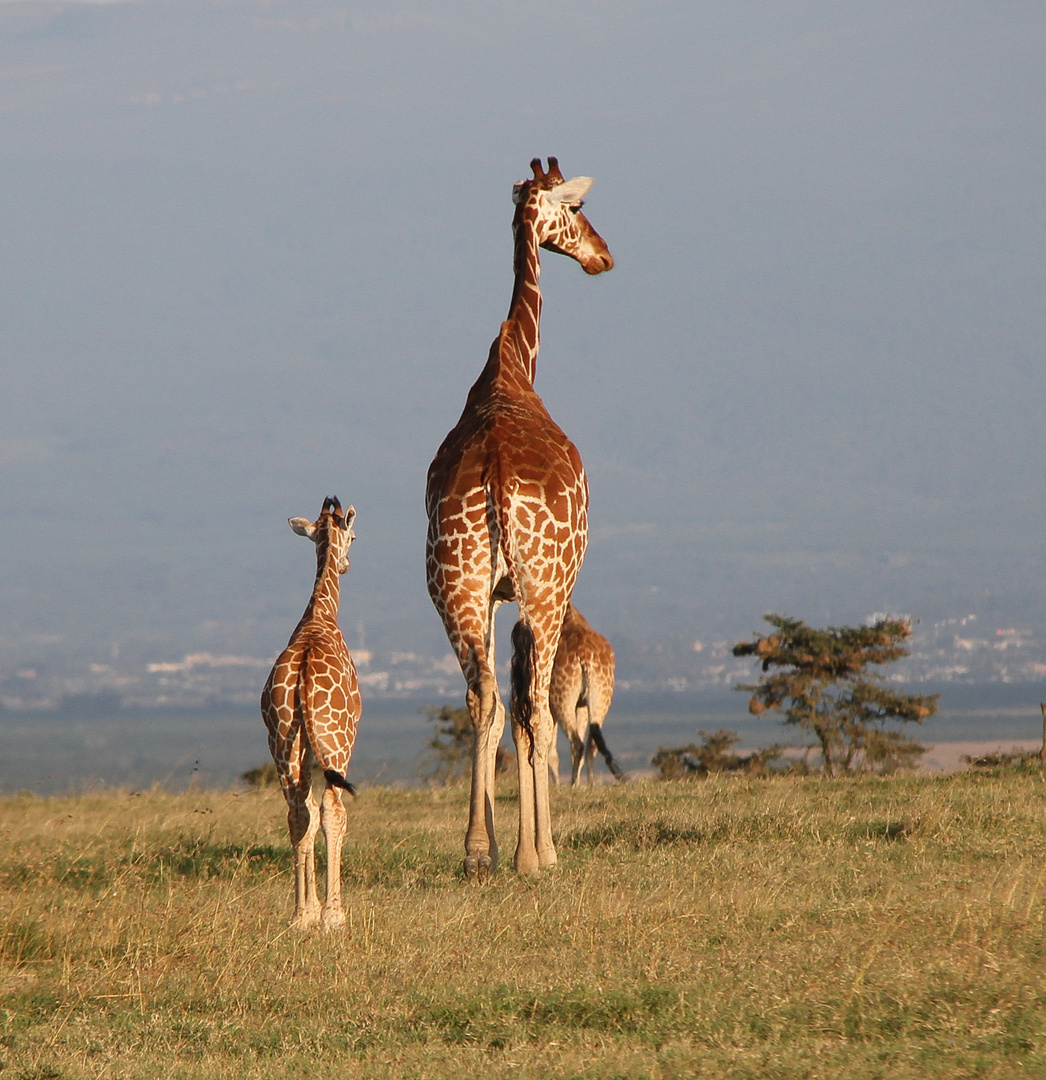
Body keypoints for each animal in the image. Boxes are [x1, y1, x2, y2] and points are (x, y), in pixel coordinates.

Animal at [425, 156, 613, 881]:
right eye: (578, 210)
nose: (603, 255)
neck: (511, 367)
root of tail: (497, 476)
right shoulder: (540, 590)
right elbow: (538, 715)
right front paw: (540, 850)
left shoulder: (495, 594)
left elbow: (497, 705)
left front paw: (495, 847)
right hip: (545, 586)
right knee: (533, 706)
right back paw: (535, 855)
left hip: (456, 585)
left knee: (484, 698)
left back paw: (479, 852)